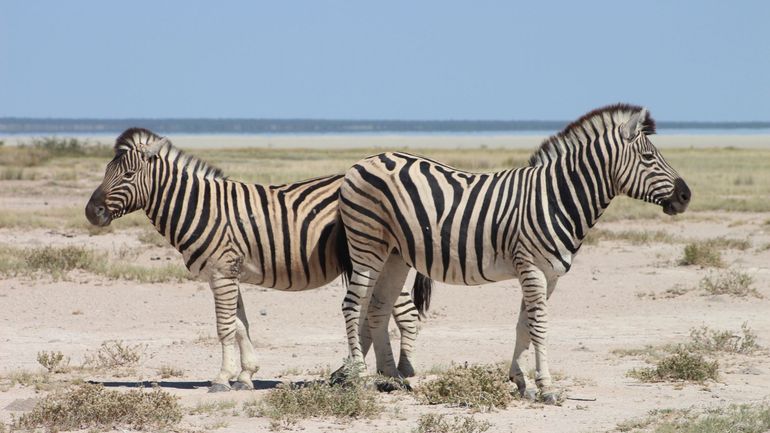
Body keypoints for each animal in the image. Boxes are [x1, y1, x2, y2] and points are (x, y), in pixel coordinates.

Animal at [87, 127, 424, 392]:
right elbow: (240, 325)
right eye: (104, 171)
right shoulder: (226, 273)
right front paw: (245, 375)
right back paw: (350, 373)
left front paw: (222, 379)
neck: (200, 207)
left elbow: (224, 327)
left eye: (128, 174)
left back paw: (402, 373)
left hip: (373, 258)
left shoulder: (222, 271)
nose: (92, 212)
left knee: (405, 313)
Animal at [336, 104, 688, 402]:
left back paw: (392, 379)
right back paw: (359, 377)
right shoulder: (531, 267)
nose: (686, 196)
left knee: (377, 308)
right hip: (367, 245)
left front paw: (522, 382)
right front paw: (547, 387)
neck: (557, 197)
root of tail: (362, 161)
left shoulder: (547, 274)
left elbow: (525, 324)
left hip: (394, 255)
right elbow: (539, 325)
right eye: (648, 157)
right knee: (352, 305)